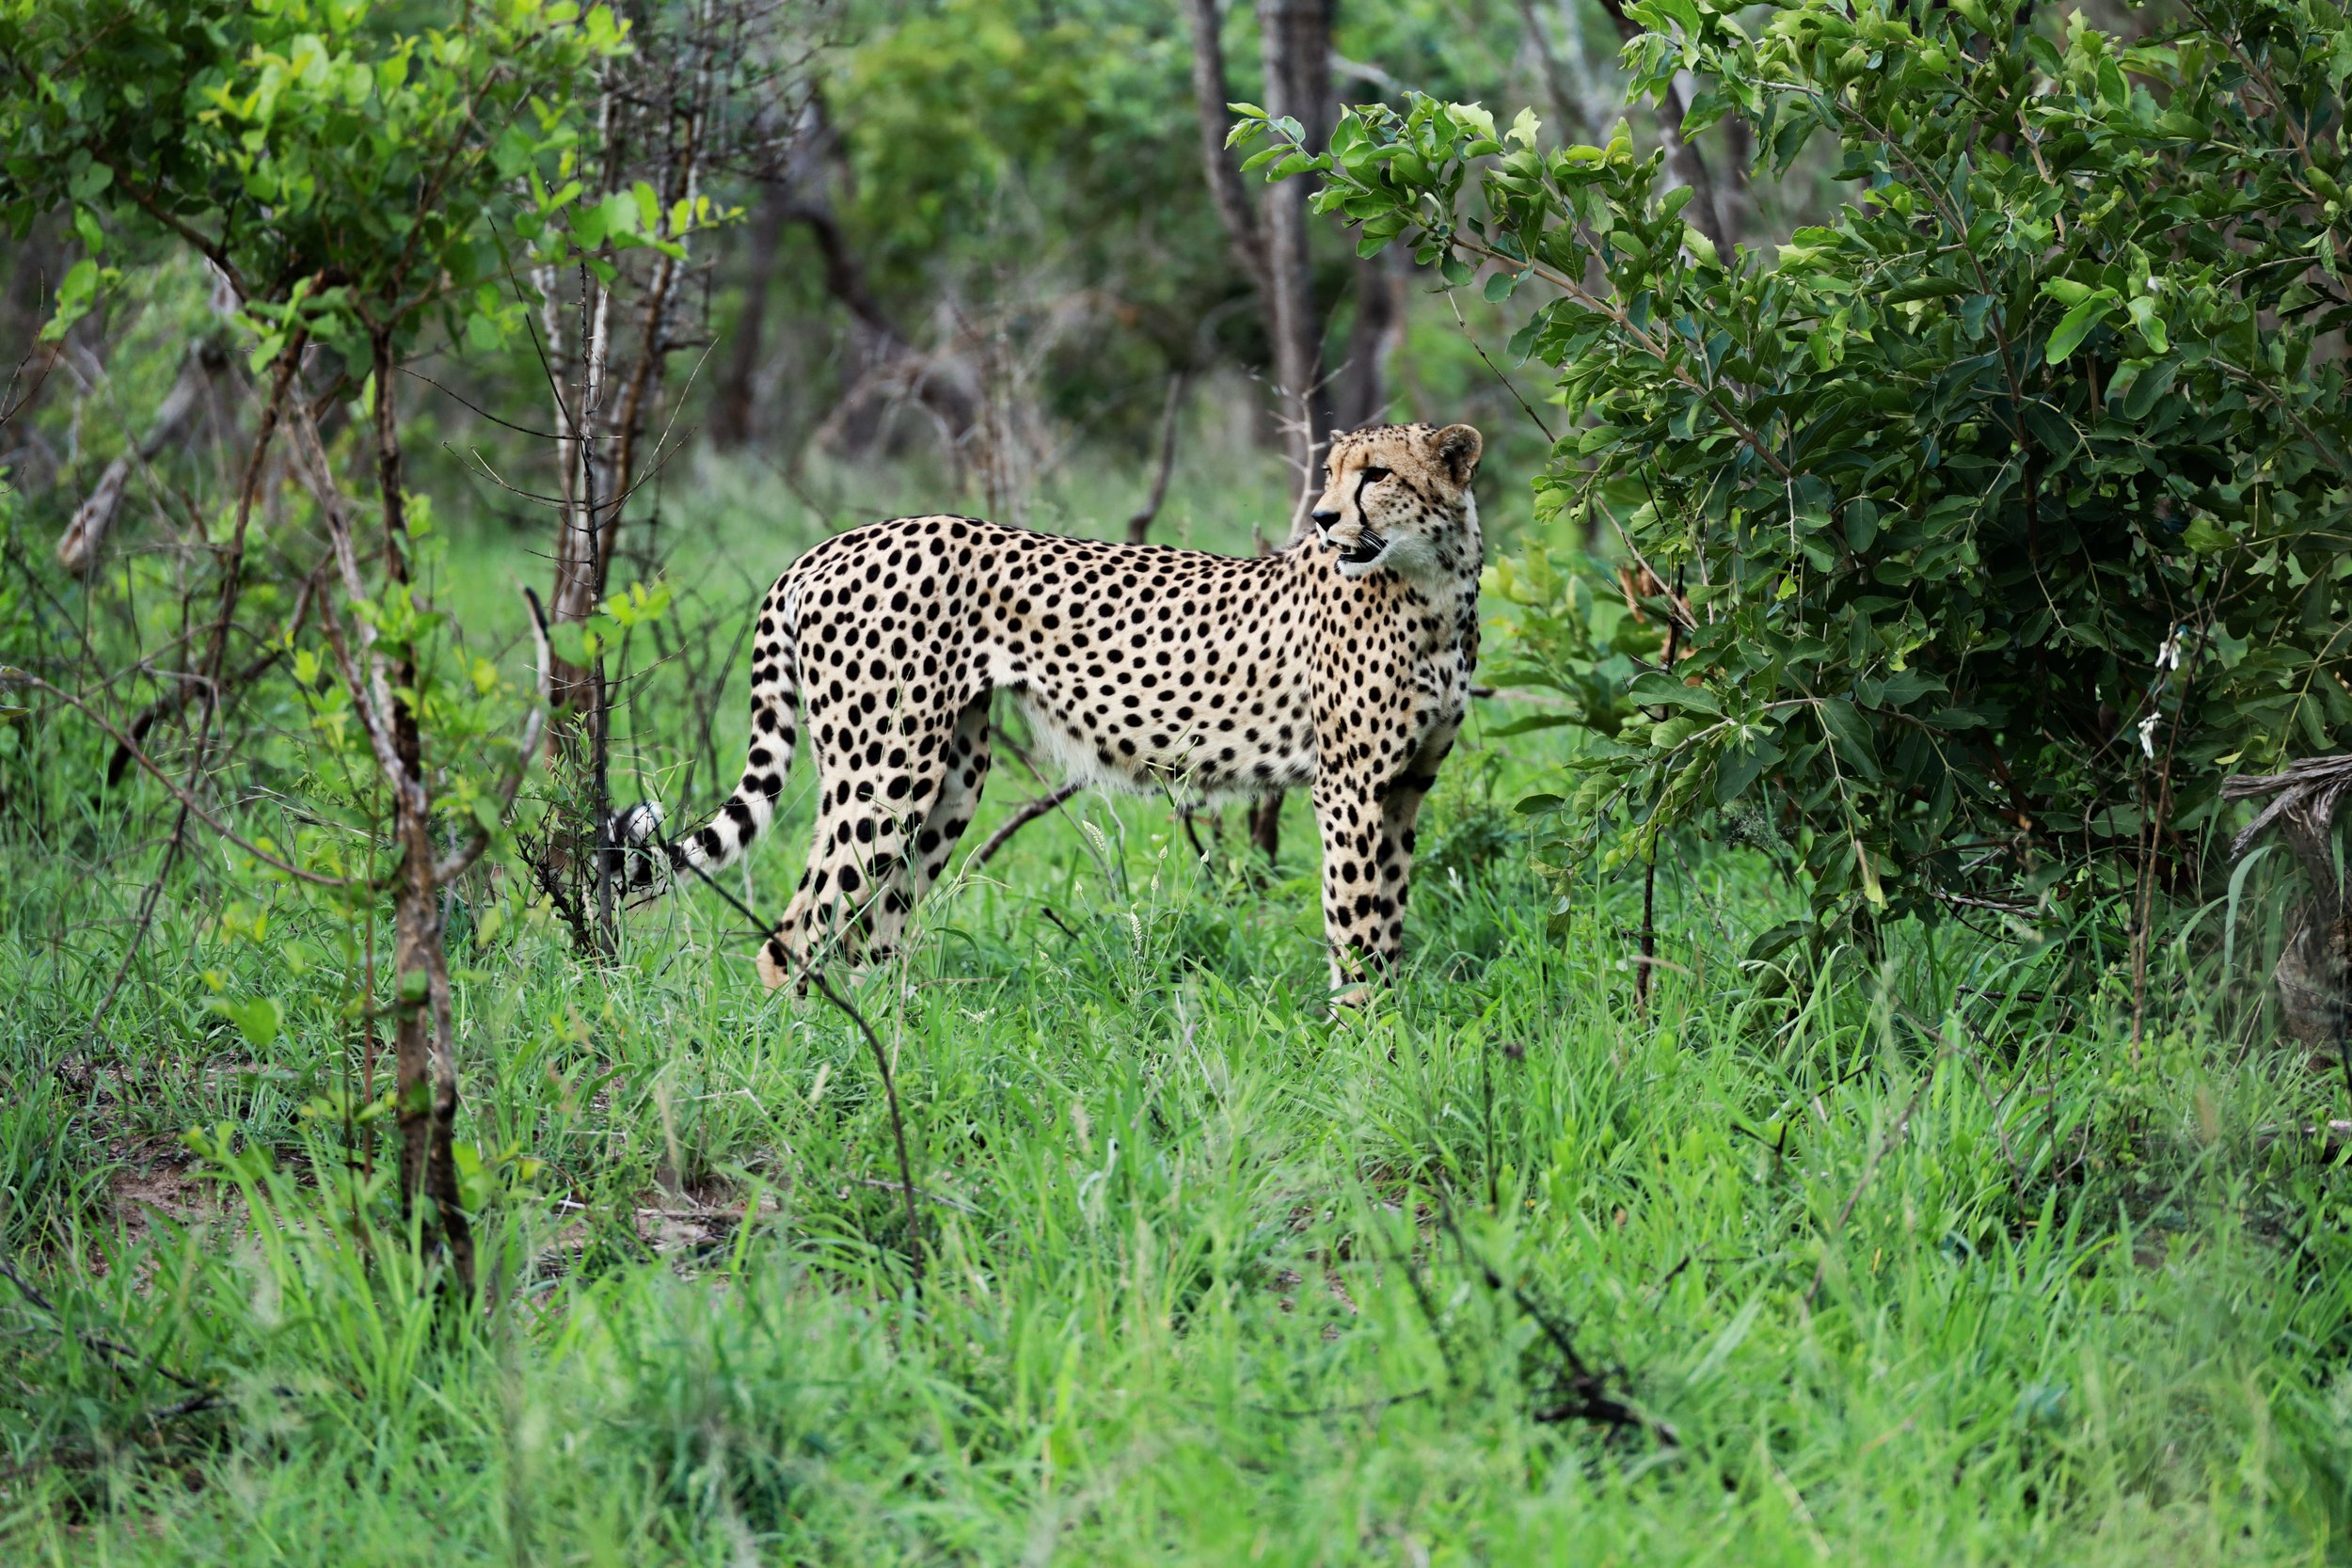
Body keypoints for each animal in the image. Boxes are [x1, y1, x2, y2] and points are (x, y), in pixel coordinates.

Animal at [615, 420, 1485, 998]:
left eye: (1375, 473)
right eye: (1334, 471)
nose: (1326, 519)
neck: (1435, 586)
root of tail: (837, 541)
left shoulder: (1405, 786)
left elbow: (1389, 914)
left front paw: (1390, 1038)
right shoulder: (1351, 787)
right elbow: (1357, 921)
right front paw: (1362, 1043)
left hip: (948, 776)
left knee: (873, 931)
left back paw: (895, 1050)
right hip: (883, 770)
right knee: (795, 933)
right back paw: (812, 1068)